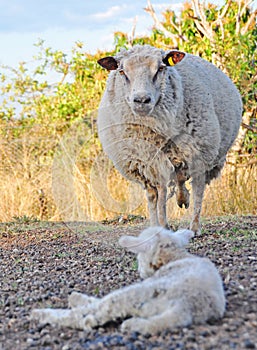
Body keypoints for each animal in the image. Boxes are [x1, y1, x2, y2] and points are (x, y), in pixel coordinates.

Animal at [31, 226, 225, 334]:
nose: (140, 271)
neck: (175, 257)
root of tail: (186, 305)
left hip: (136, 294)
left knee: (89, 316)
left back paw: (43, 313)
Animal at [96, 45, 242, 234]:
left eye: (160, 68)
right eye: (121, 71)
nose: (141, 100)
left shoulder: (190, 154)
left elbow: (182, 183)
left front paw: (182, 203)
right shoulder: (145, 163)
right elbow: (155, 195)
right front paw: (158, 225)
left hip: (202, 153)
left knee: (197, 187)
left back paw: (193, 224)